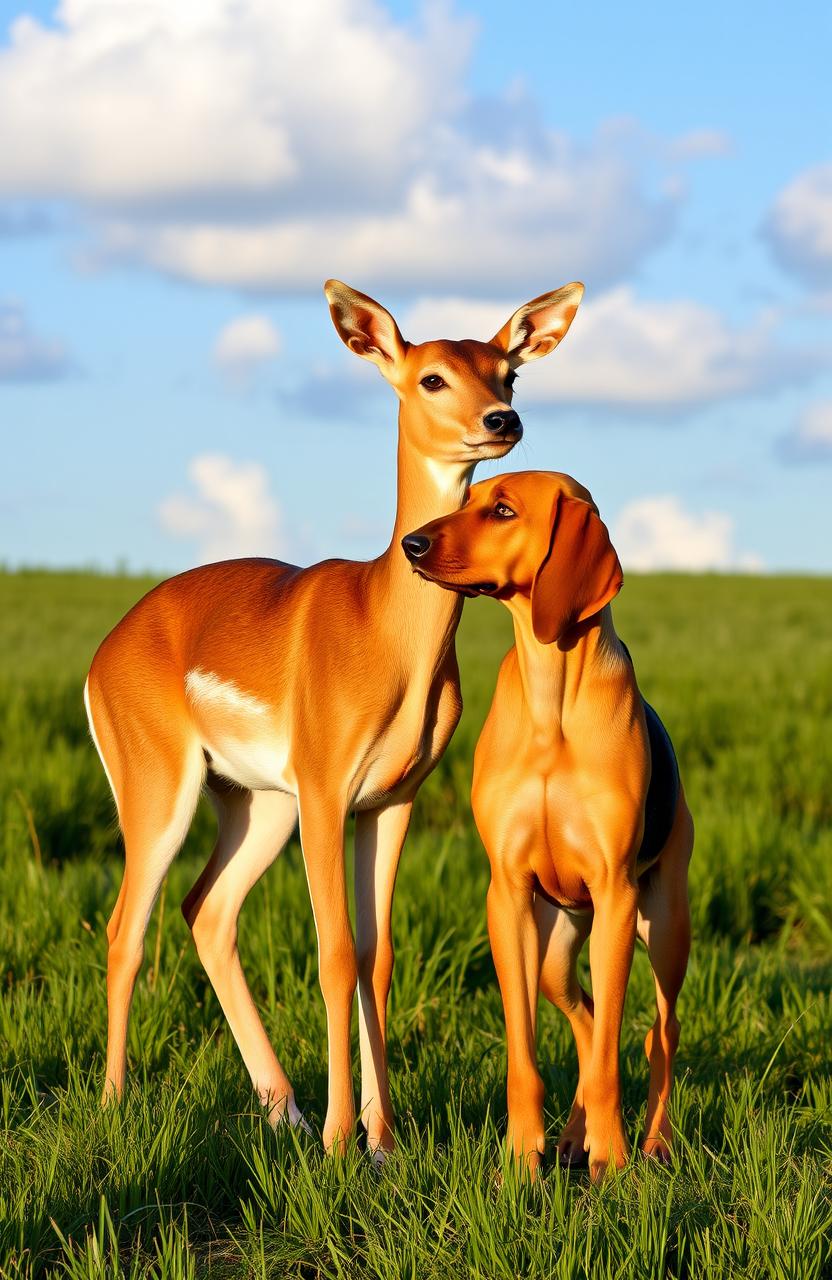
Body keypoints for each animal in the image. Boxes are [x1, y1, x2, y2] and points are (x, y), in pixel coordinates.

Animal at [404, 471, 691, 1177]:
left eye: (504, 511)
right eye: (469, 499)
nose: (411, 544)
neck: (551, 692)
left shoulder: (616, 895)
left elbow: (616, 1050)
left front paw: (612, 1158)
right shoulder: (506, 895)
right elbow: (527, 1053)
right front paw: (522, 1152)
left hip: (664, 929)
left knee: (659, 1031)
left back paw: (652, 1142)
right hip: (555, 950)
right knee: (585, 1019)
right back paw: (570, 1136)